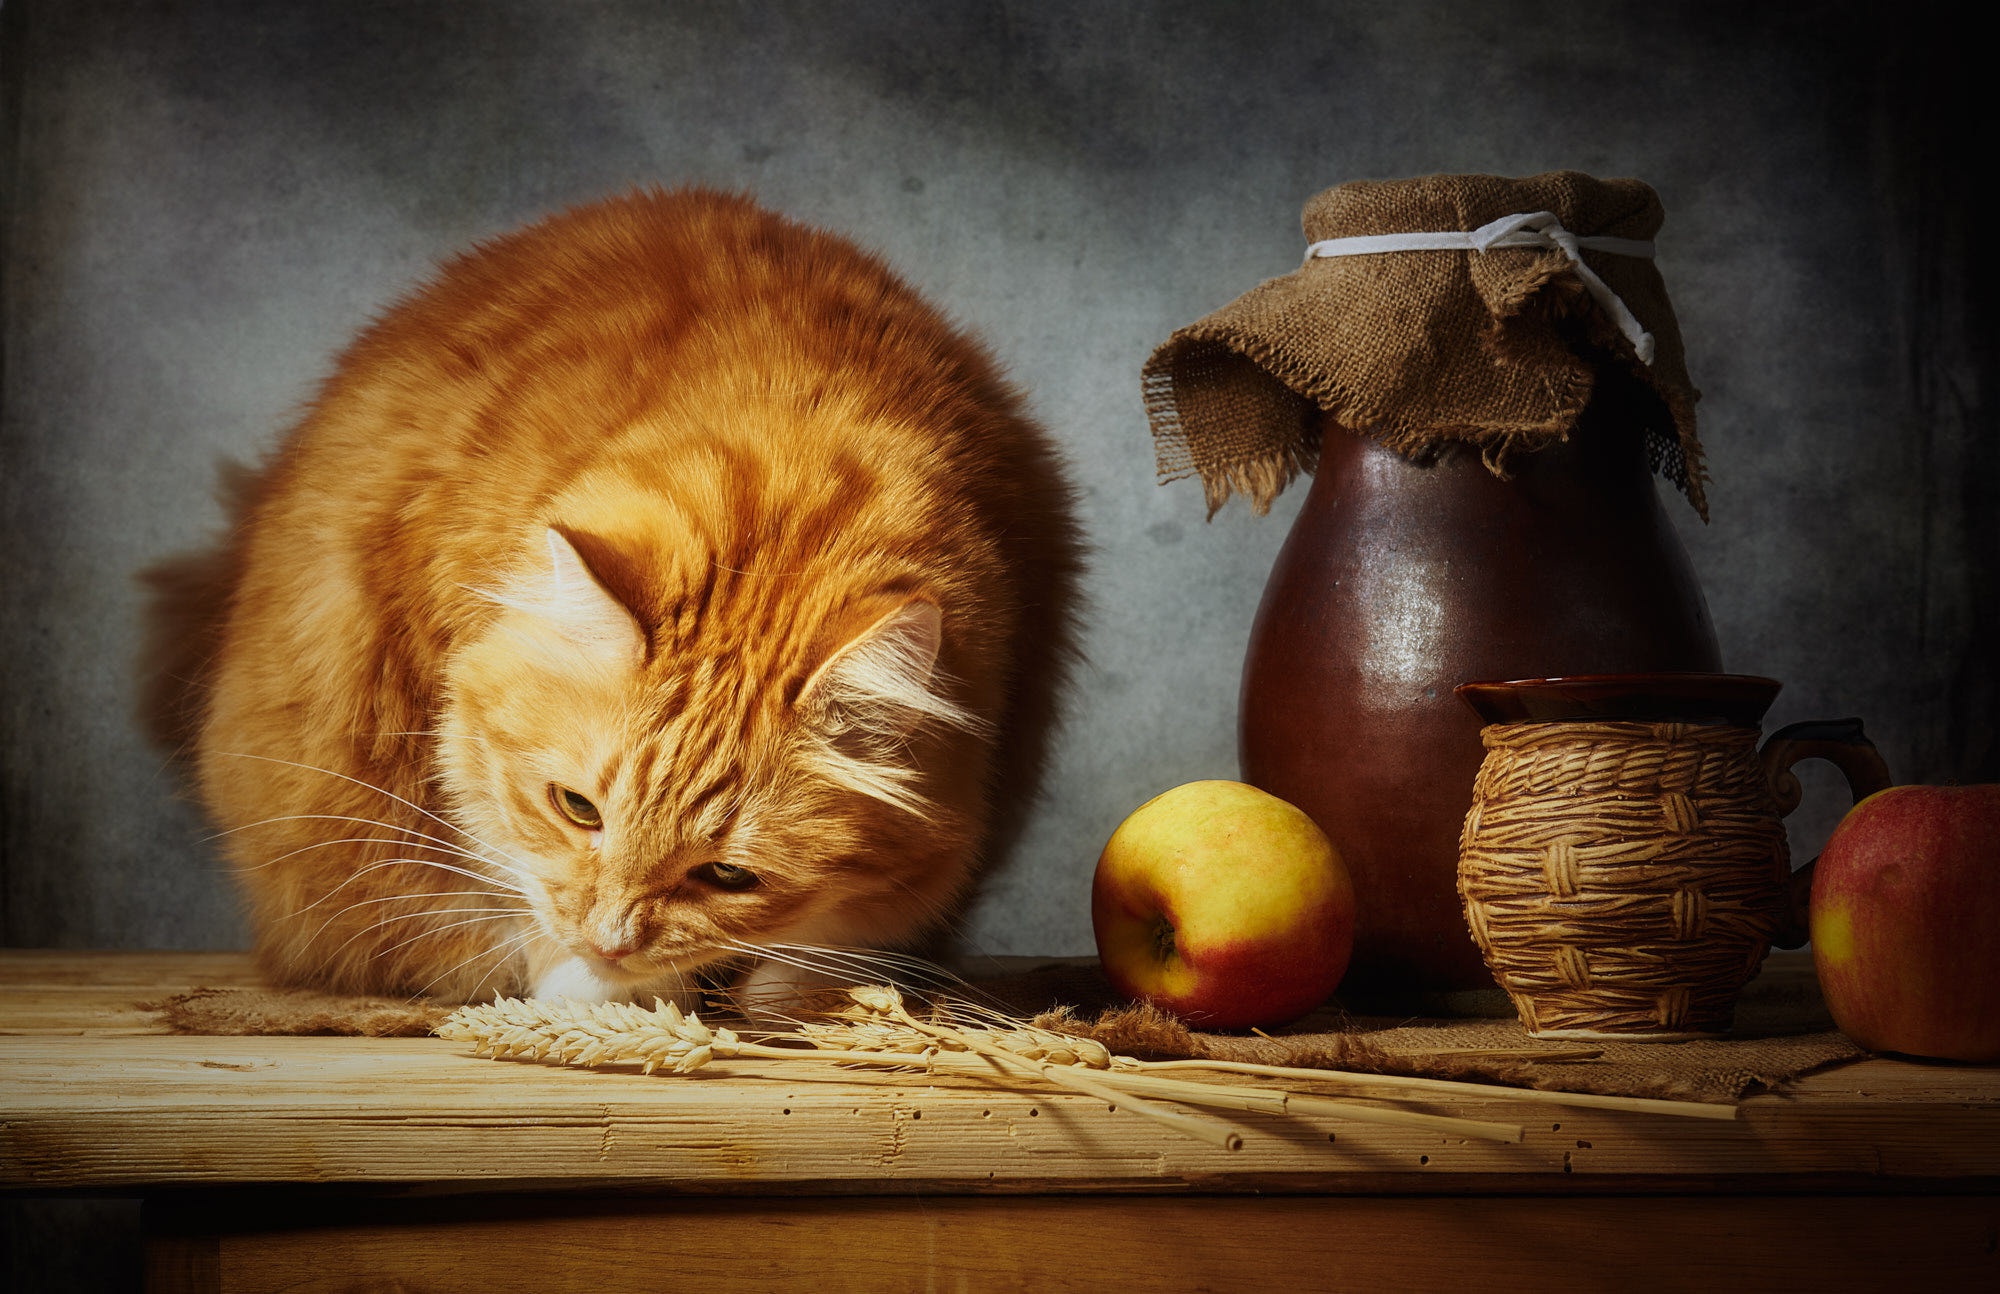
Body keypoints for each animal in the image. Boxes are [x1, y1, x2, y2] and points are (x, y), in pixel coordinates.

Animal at [145, 187, 1080, 1012]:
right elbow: (500, 881)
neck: (787, 487)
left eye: (729, 876)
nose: (610, 941)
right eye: (577, 810)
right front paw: (600, 988)